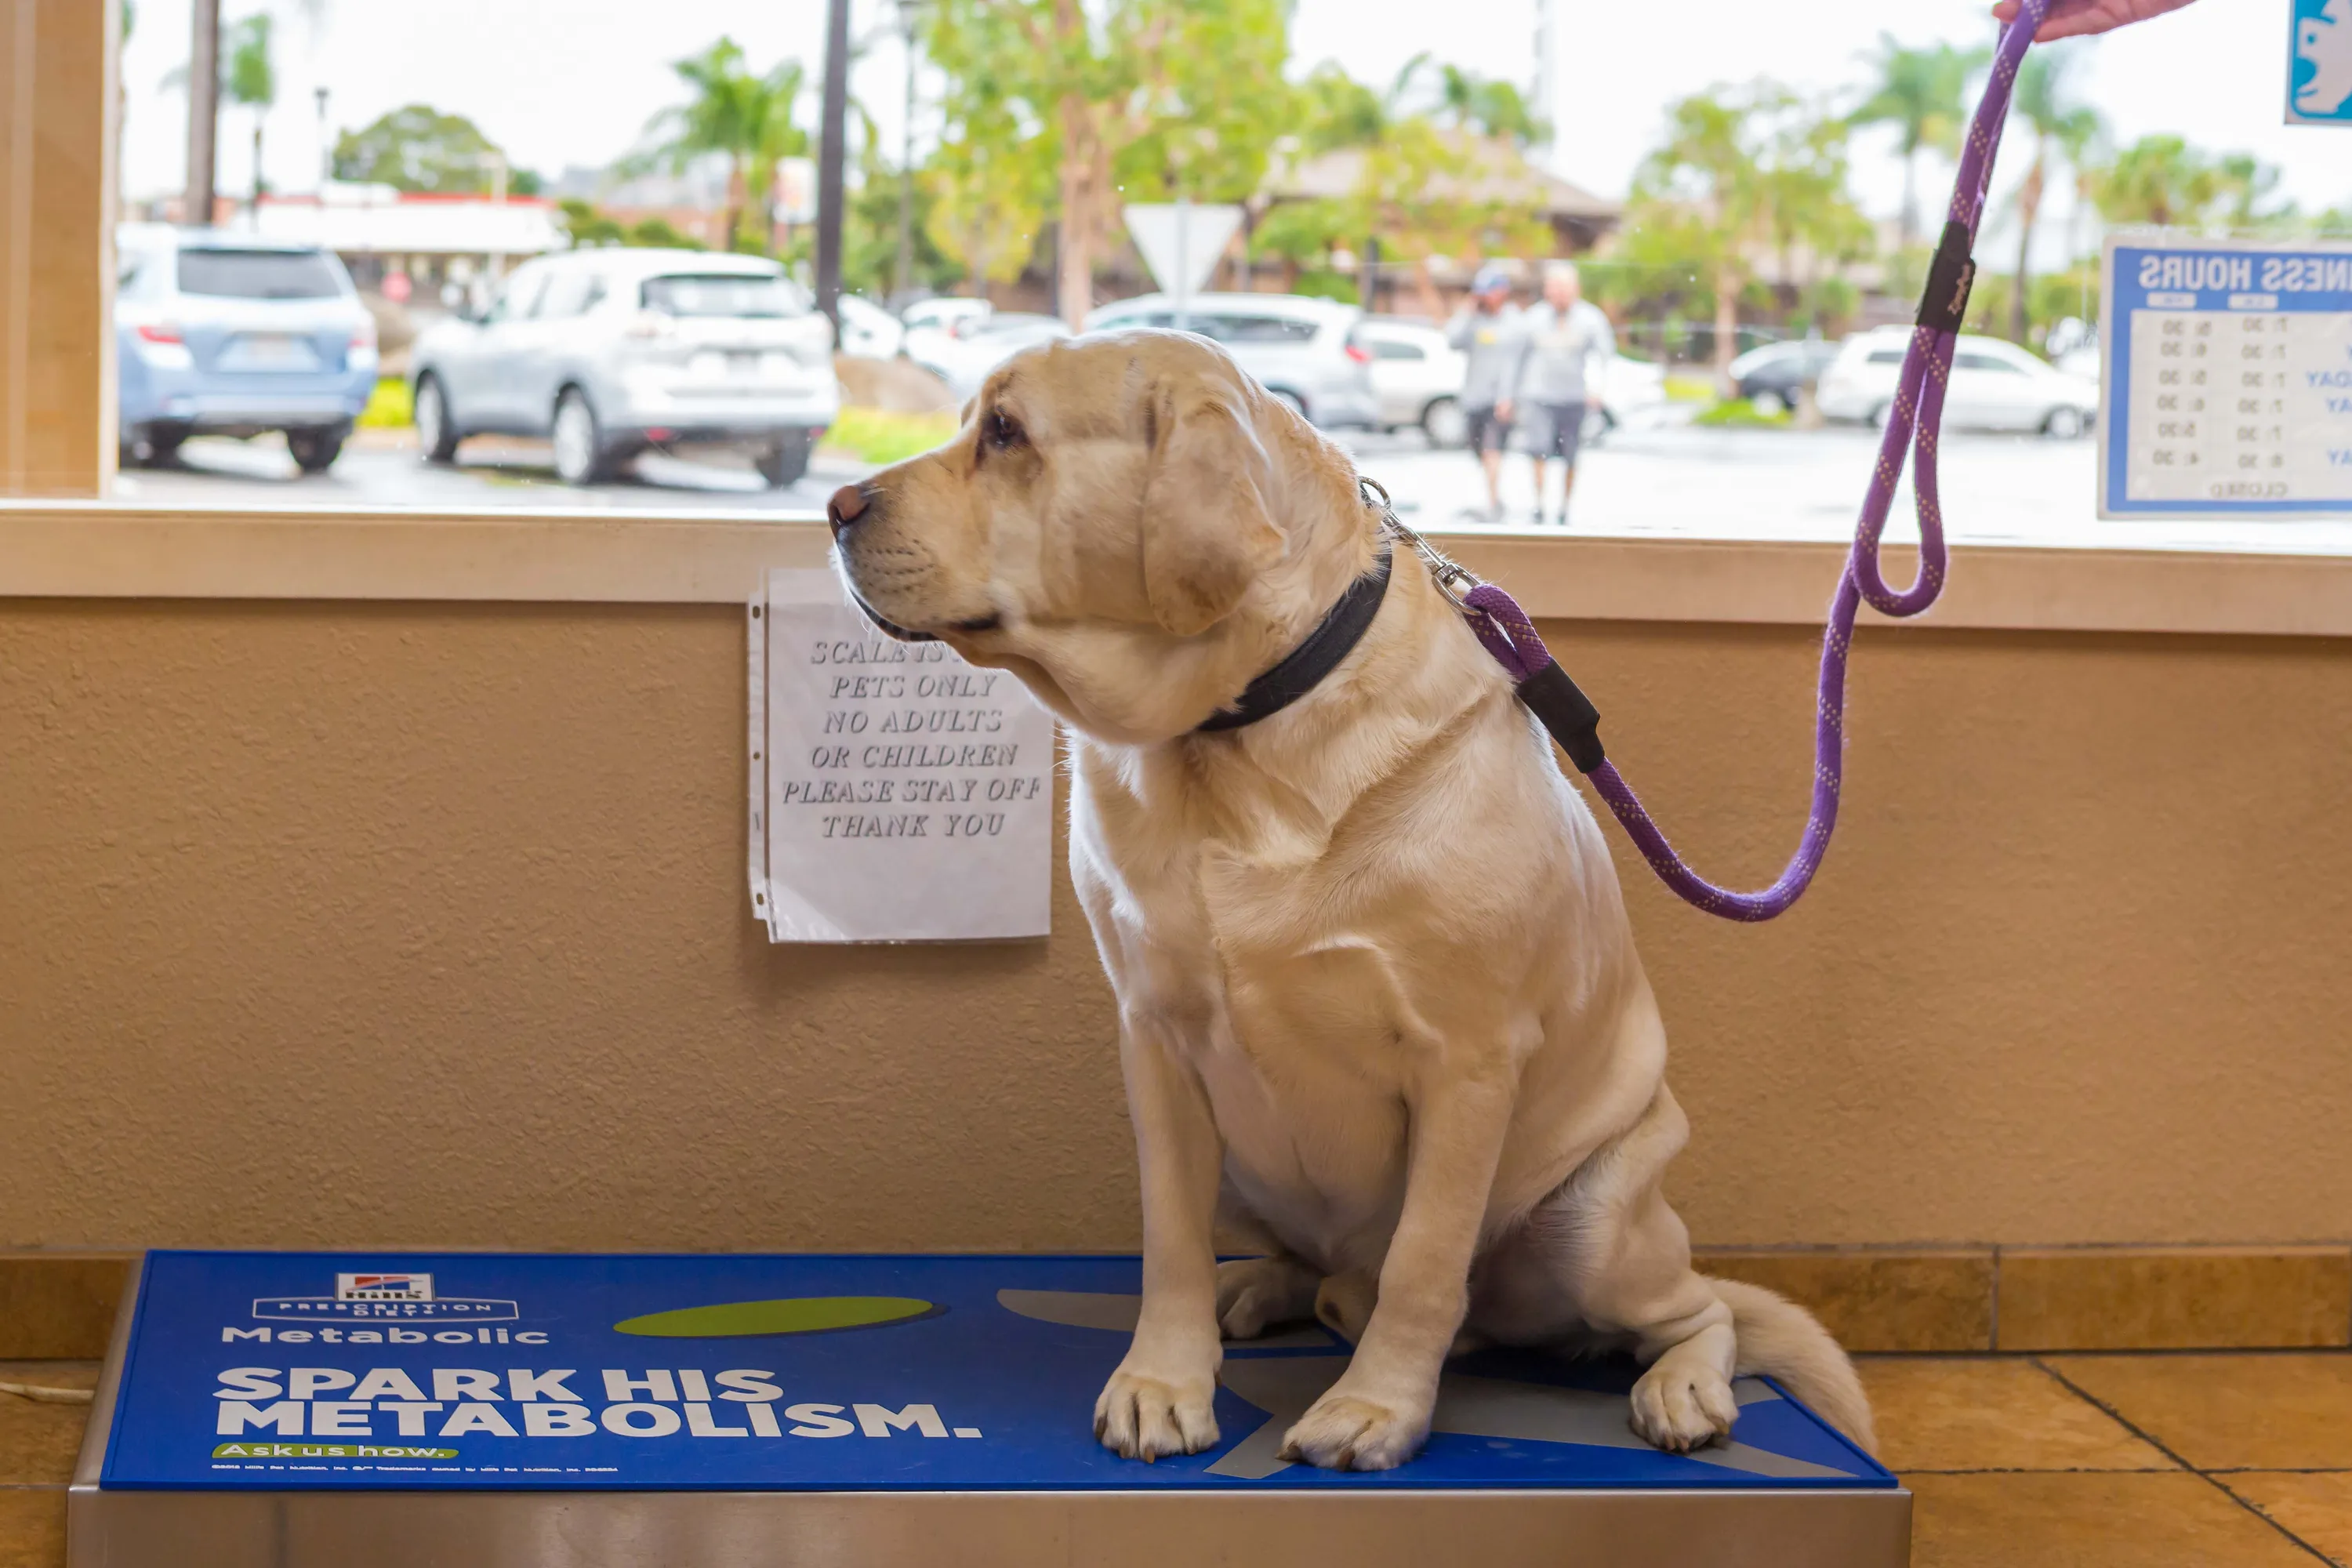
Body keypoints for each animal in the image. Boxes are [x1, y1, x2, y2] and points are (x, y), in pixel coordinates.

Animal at [833, 331, 1872, 1476]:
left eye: (1008, 434)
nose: (835, 506)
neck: (1237, 728)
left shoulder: (1468, 1061)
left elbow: (1424, 1260)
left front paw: (1376, 1409)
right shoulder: (1155, 1042)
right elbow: (1168, 1240)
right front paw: (1164, 1380)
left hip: (1596, 1223)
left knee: (1698, 1312)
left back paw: (1681, 1386)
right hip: (1242, 1159)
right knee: (1308, 1264)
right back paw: (1263, 1289)